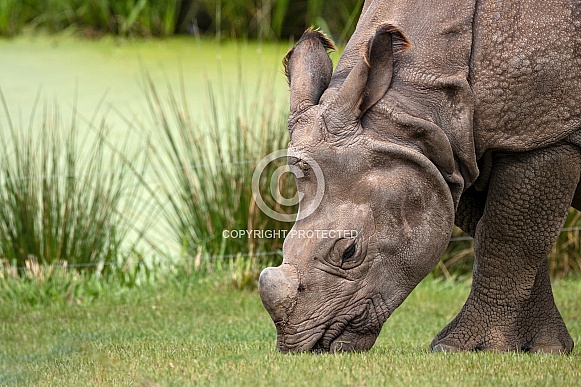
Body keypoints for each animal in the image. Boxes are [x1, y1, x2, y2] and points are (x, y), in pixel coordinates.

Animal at [258, 0, 580, 354]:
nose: (300, 346)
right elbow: (506, 234)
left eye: (349, 252)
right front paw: (545, 348)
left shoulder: (544, 135)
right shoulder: (447, 154)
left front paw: (464, 348)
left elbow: (511, 239)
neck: (411, 111)